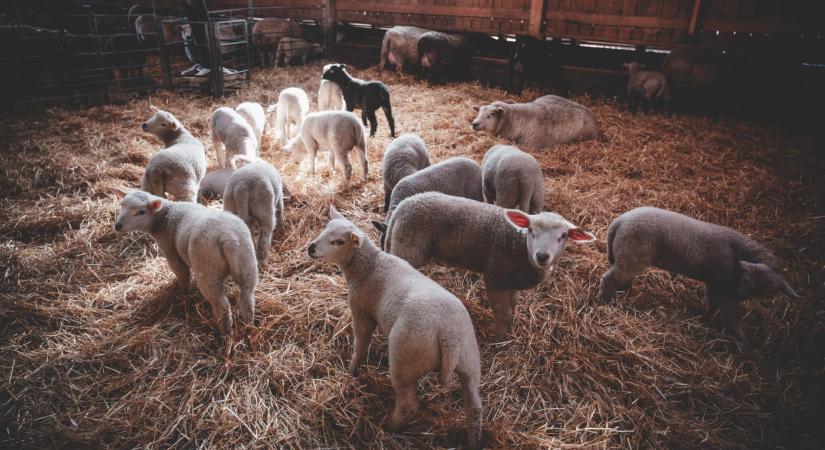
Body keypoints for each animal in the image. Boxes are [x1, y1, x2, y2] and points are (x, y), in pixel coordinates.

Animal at [308, 208, 482, 450]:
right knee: (474, 408)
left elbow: (360, 344)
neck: (369, 265)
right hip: (470, 359)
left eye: (339, 241)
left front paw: (351, 371)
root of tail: (449, 337)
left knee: (408, 404)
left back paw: (389, 425)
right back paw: (474, 440)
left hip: (405, 359)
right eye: (324, 229)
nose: (311, 248)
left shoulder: (361, 311)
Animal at [380, 190, 592, 342]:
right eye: (531, 230)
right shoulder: (495, 278)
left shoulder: (512, 282)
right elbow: (503, 314)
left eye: (563, 235)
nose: (542, 256)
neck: (520, 246)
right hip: (408, 248)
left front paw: (510, 329)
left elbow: (513, 305)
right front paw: (499, 340)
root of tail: (403, 206)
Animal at [596, 207, 796, 342]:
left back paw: (624, 294)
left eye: (767, 294)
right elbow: (730, 314)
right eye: (747, 279)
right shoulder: (722, 286)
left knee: (619, 277)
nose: (739, 295)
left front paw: (706, 318)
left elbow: (712, 304)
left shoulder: (714, 284)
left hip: (624, 256)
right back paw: (603, 301)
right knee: (609, 278)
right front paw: (743, 340)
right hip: (632, 256)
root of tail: (619, 222)